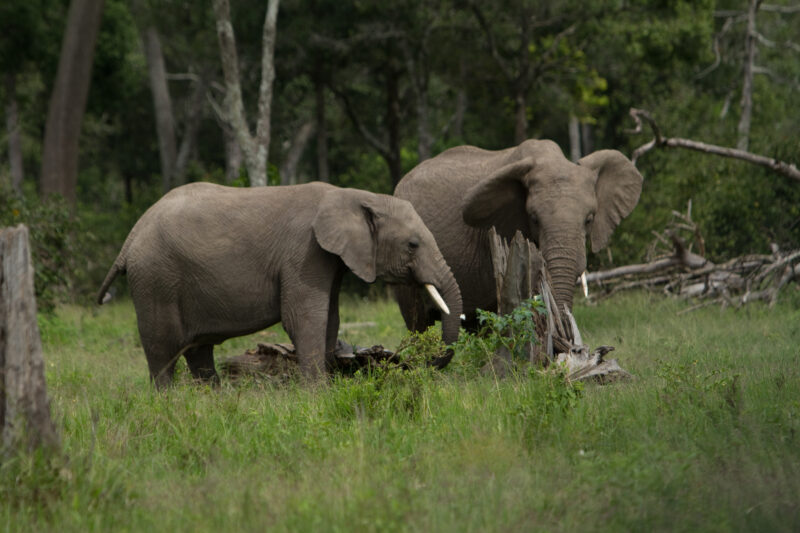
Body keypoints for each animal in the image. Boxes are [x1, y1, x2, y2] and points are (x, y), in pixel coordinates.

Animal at [96, 181, 462, 388]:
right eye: (412, 245)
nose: (420, 364)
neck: (355, 196)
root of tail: (130, 239)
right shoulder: (303, 252)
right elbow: (304, 318)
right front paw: (318, 395)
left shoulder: (327, 259)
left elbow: (330, 318)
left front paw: (328, 386)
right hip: (156, 279)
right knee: (163, 351)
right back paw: (169, 404)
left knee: (199, 352)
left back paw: (212, 400)